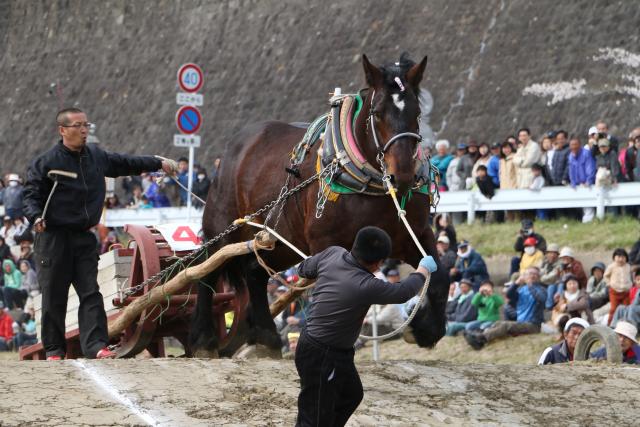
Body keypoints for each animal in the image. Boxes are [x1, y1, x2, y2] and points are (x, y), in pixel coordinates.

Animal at [190, 53, 448, 360]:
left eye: (417, 113)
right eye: (377, 113)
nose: (404, 176)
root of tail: (236, 147)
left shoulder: (413, 234)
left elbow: (439, 274)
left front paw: (426, 329)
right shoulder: (325, 243)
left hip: (281, 239)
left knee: (254, 270)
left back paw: (266, 337)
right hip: (225, 225)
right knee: (208, 268)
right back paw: (204, 339)